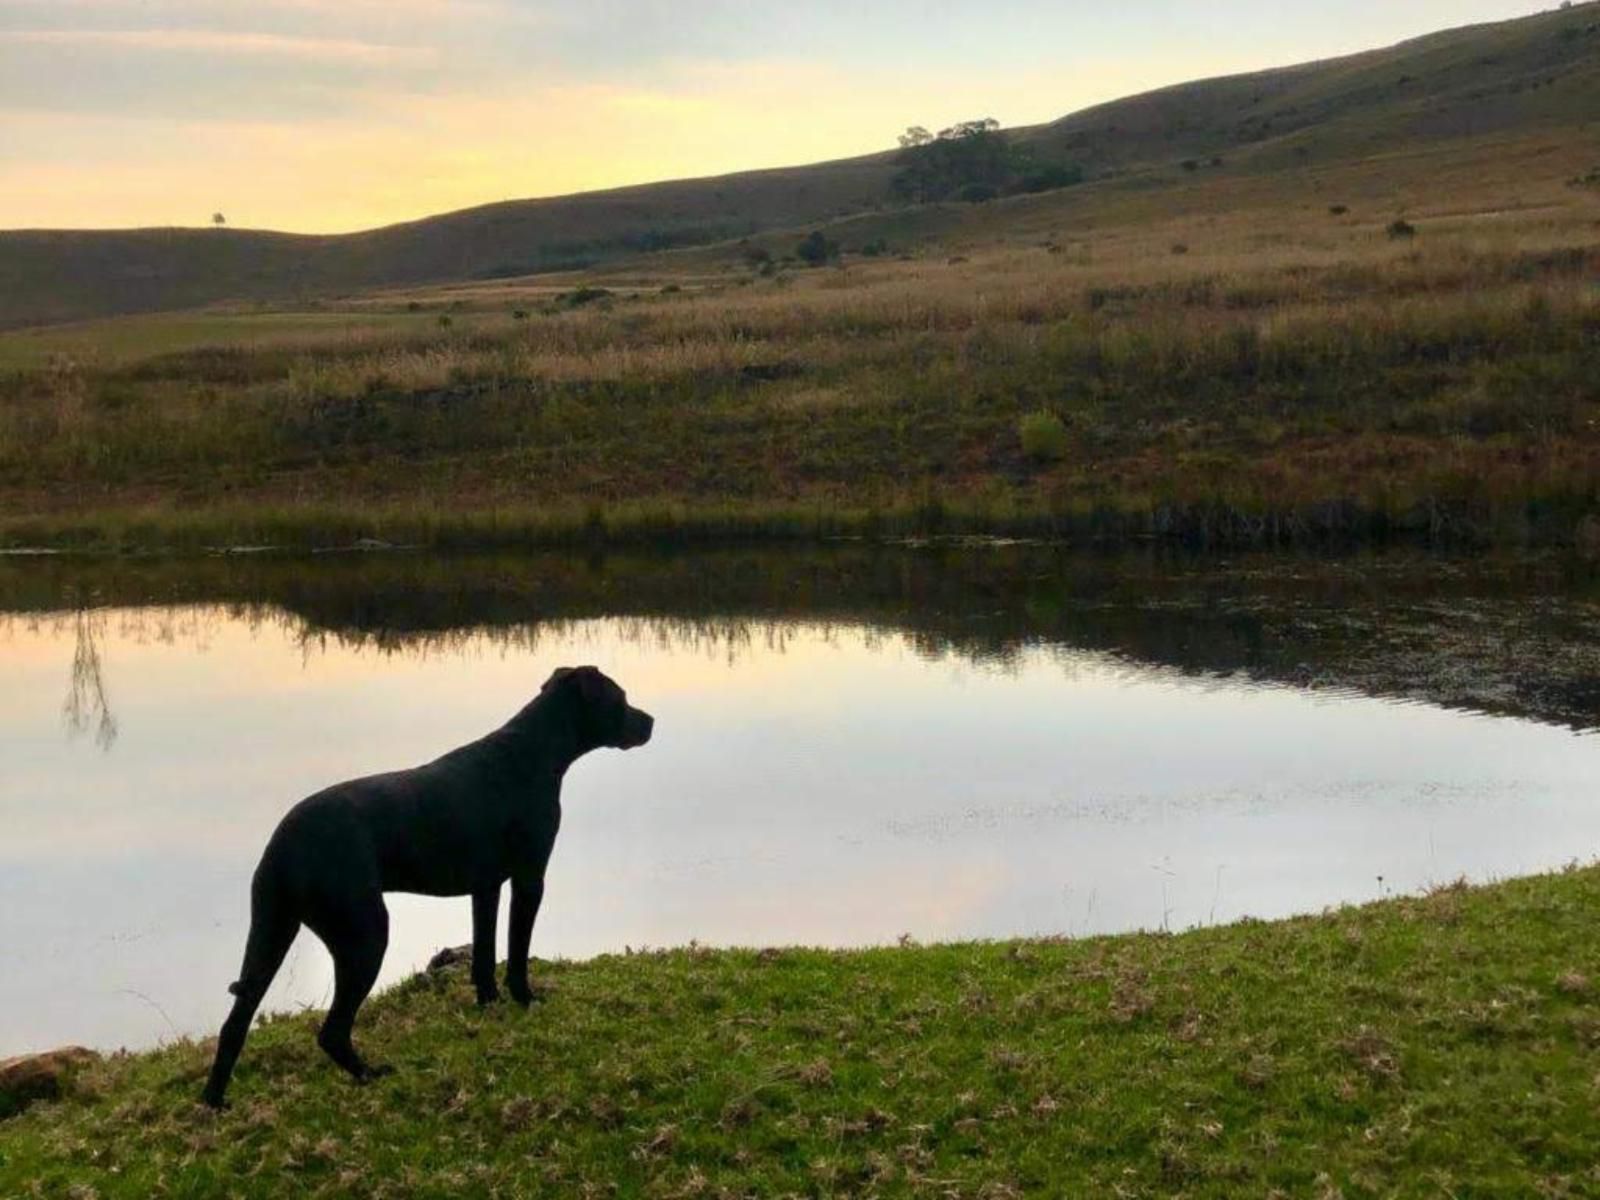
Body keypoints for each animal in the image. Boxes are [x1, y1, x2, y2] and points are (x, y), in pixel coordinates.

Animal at [203, 668, 652, 1107]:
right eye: (620, 698)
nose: (649, 721)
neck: (534, 751)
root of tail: (284, 845)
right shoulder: (528, 878)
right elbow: (517, 951)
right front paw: (526, 999)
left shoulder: (486, 887)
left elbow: (484, 954)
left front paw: (489, 1003)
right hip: (364, 934)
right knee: (331, 1031)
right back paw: (370, 1074)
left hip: (271, 931)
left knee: (235, 1022)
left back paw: (214, 1100)